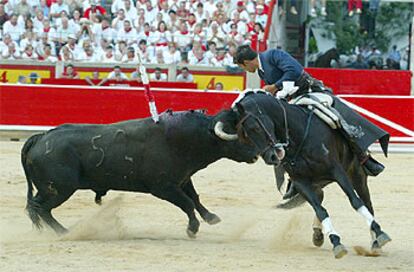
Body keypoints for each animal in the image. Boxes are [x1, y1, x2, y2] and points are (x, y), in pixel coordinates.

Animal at [21, 110, 258, 238]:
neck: (185, 138)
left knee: (38, 208)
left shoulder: (182, 179)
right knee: (41, 208)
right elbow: (187, 203)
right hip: (58, 189)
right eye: (236, 135)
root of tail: (40, 137)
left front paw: (211, 218)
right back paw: (65, 232)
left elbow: (195, 198)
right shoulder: (163, 188)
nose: (257, 154)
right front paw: (192, 228)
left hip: (52, 189)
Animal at [217, 93, 392, 260]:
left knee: (367, 202)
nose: (271, 157)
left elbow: (355, 202)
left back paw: (375, 243)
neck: (299, 136)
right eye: (244, 136)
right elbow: (321, 210)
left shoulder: (337, 171)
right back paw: (318, 234)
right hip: (317, 183)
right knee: (321, 200)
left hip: (356, 174)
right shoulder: (301, 182)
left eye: (255, 128)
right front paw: (336, 242)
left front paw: (380, 233)